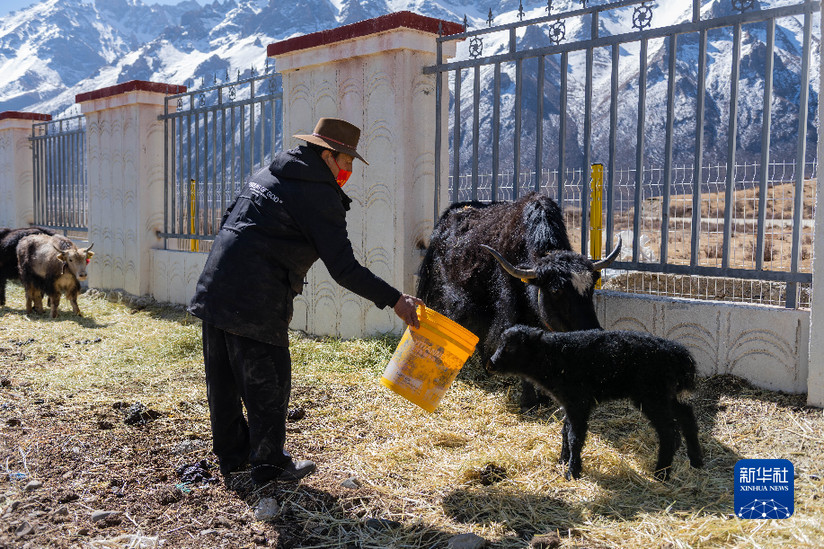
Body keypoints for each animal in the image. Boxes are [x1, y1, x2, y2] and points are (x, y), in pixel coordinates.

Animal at [490, 326, 700, 480]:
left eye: (510, 347)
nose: (491, 363)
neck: (555, 357)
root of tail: (678, 353)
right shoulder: (569, 402)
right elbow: (565, 431)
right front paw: (563, 460)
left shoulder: (578, 401)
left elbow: (575, 436)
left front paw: (572, 472)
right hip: (666, 394)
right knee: (687, 416)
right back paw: (696, 461)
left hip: (652, 395)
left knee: (669, 431)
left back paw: (661, 473)